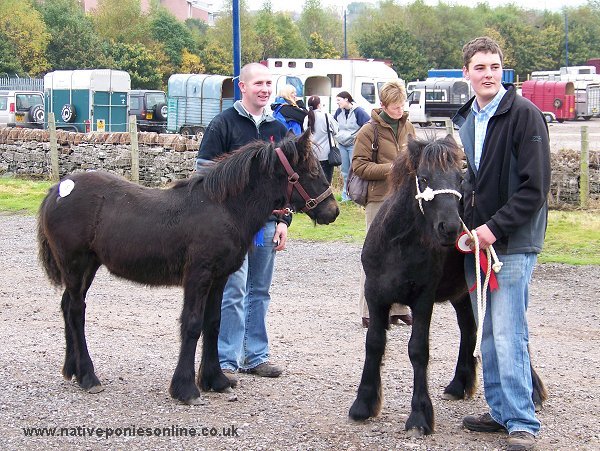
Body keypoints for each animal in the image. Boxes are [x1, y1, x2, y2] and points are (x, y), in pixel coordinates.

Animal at [38, 132, 338, 404]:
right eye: (312, 170)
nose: (332, 211)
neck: (224, 208)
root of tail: (58, 189)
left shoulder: (219, 278)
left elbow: (214, 323)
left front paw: (215, 380)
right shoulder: (198, 275)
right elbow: (192, 324)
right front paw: (186, 389)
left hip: (88, 266)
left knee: (67, 306)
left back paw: (72, 369)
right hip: (75, 264)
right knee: (76, 311)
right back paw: (88, 377)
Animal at [346, 135, 548, 438]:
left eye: (459, 179)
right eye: (424, 178)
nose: (450, 228)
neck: (398, 244)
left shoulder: (422, 300)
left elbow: (418, 350)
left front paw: (419, 415)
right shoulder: (375, 296)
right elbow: (374, 344)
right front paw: (363, 404)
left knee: (514, 338)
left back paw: (532, 393)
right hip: (462, 295)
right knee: (469, 330)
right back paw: (459, 384)